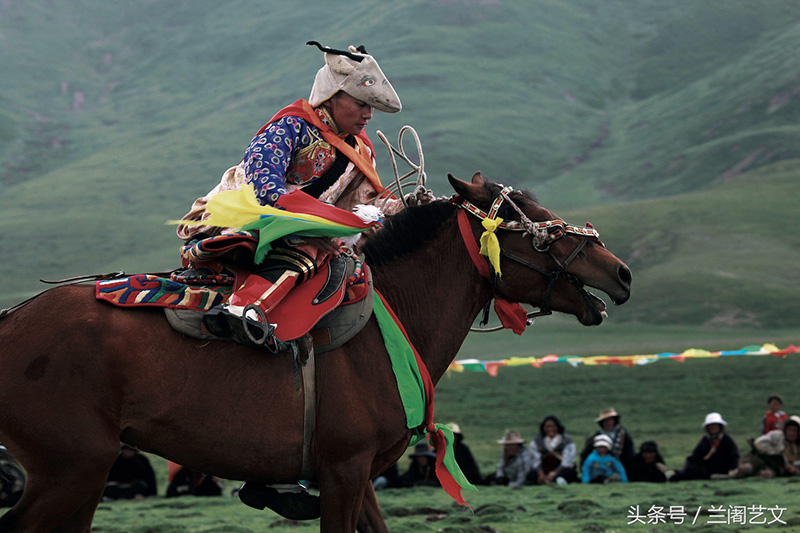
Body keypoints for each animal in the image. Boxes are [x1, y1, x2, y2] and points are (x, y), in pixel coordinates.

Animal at [0, 172, 632, 528]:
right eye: (538, 225)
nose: (620, 272)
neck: (394, 315)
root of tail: (11, 322)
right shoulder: (343, 471)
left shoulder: (357, 477)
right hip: (71, 468)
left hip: (84, 475)